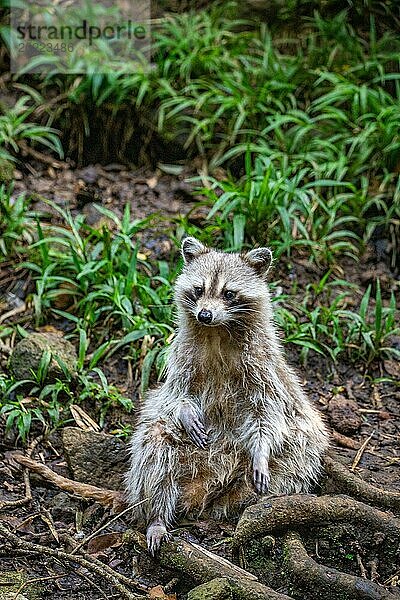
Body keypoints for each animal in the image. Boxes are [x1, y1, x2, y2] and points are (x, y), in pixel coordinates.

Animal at [126, 236, 330, 552]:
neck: (218, 332)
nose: (204, 314)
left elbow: (267, 412)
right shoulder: (181, 355)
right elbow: (174, 395)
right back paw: (157, 516)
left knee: (298, 455)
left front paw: (261, 449)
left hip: (289, 451)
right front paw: (186, 410)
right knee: (155, 447)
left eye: (229, 293)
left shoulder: (263, 366)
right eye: (199, 290)